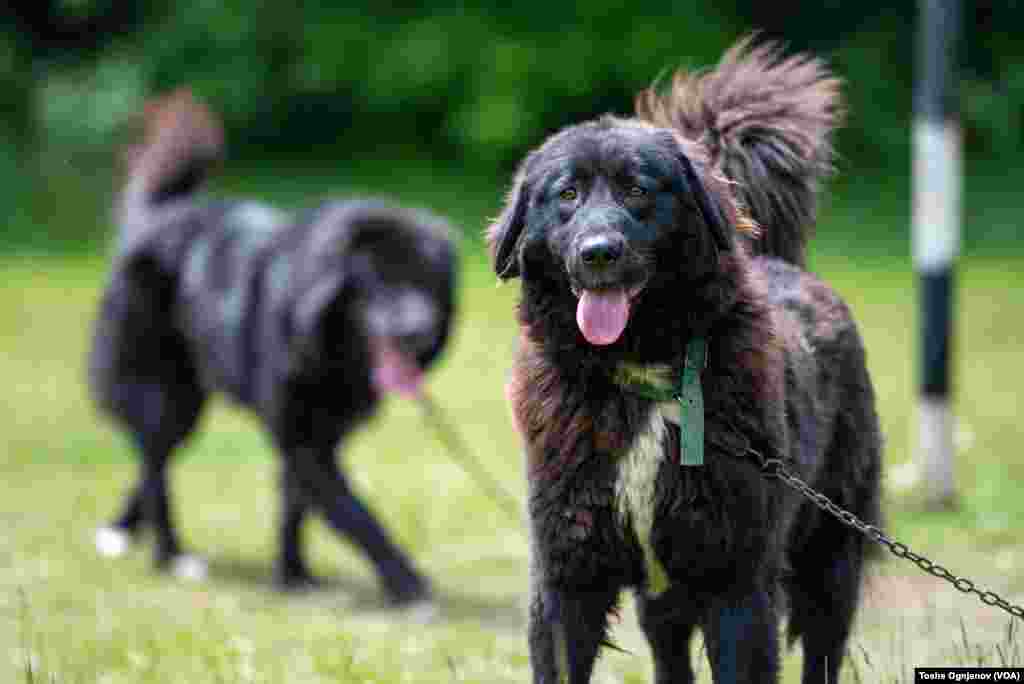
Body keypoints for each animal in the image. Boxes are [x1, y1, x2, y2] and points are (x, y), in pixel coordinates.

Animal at [88, 90, 456, 610]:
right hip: (163, 393)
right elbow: (356, 513)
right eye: (378, 282)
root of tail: (156, 219)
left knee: (150, 460)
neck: (330, 350)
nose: (417, 330)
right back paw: (170, 555)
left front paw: (295, 575)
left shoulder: (319, 434)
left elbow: (295, 508)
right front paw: (406, 582)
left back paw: (121, 531)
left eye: (428, 281)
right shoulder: (303, 439)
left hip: (187, 401)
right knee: (156, 464)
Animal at [487, 41, 880, 684]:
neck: (638, 373)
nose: (598, 254)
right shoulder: (567, 576)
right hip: (665, 597)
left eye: (637, 191)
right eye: (566, 195)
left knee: (823, 646)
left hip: (832, 549)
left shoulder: (735, 579)